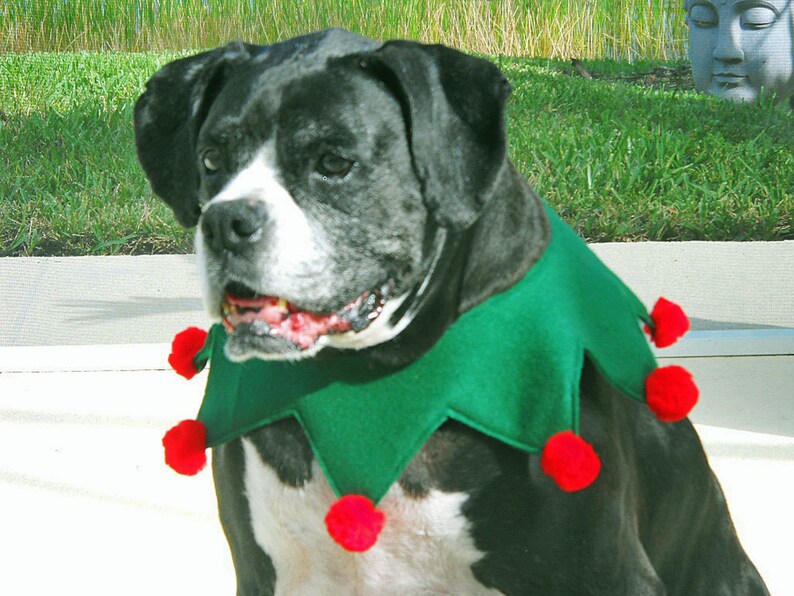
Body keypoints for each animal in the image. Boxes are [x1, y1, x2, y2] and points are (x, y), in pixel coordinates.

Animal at [136, 29, 768, 596]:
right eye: (211, 159)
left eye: (334, 162)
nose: (224, 221)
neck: (375, 375)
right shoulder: (261, 573)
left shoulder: (612, 575)